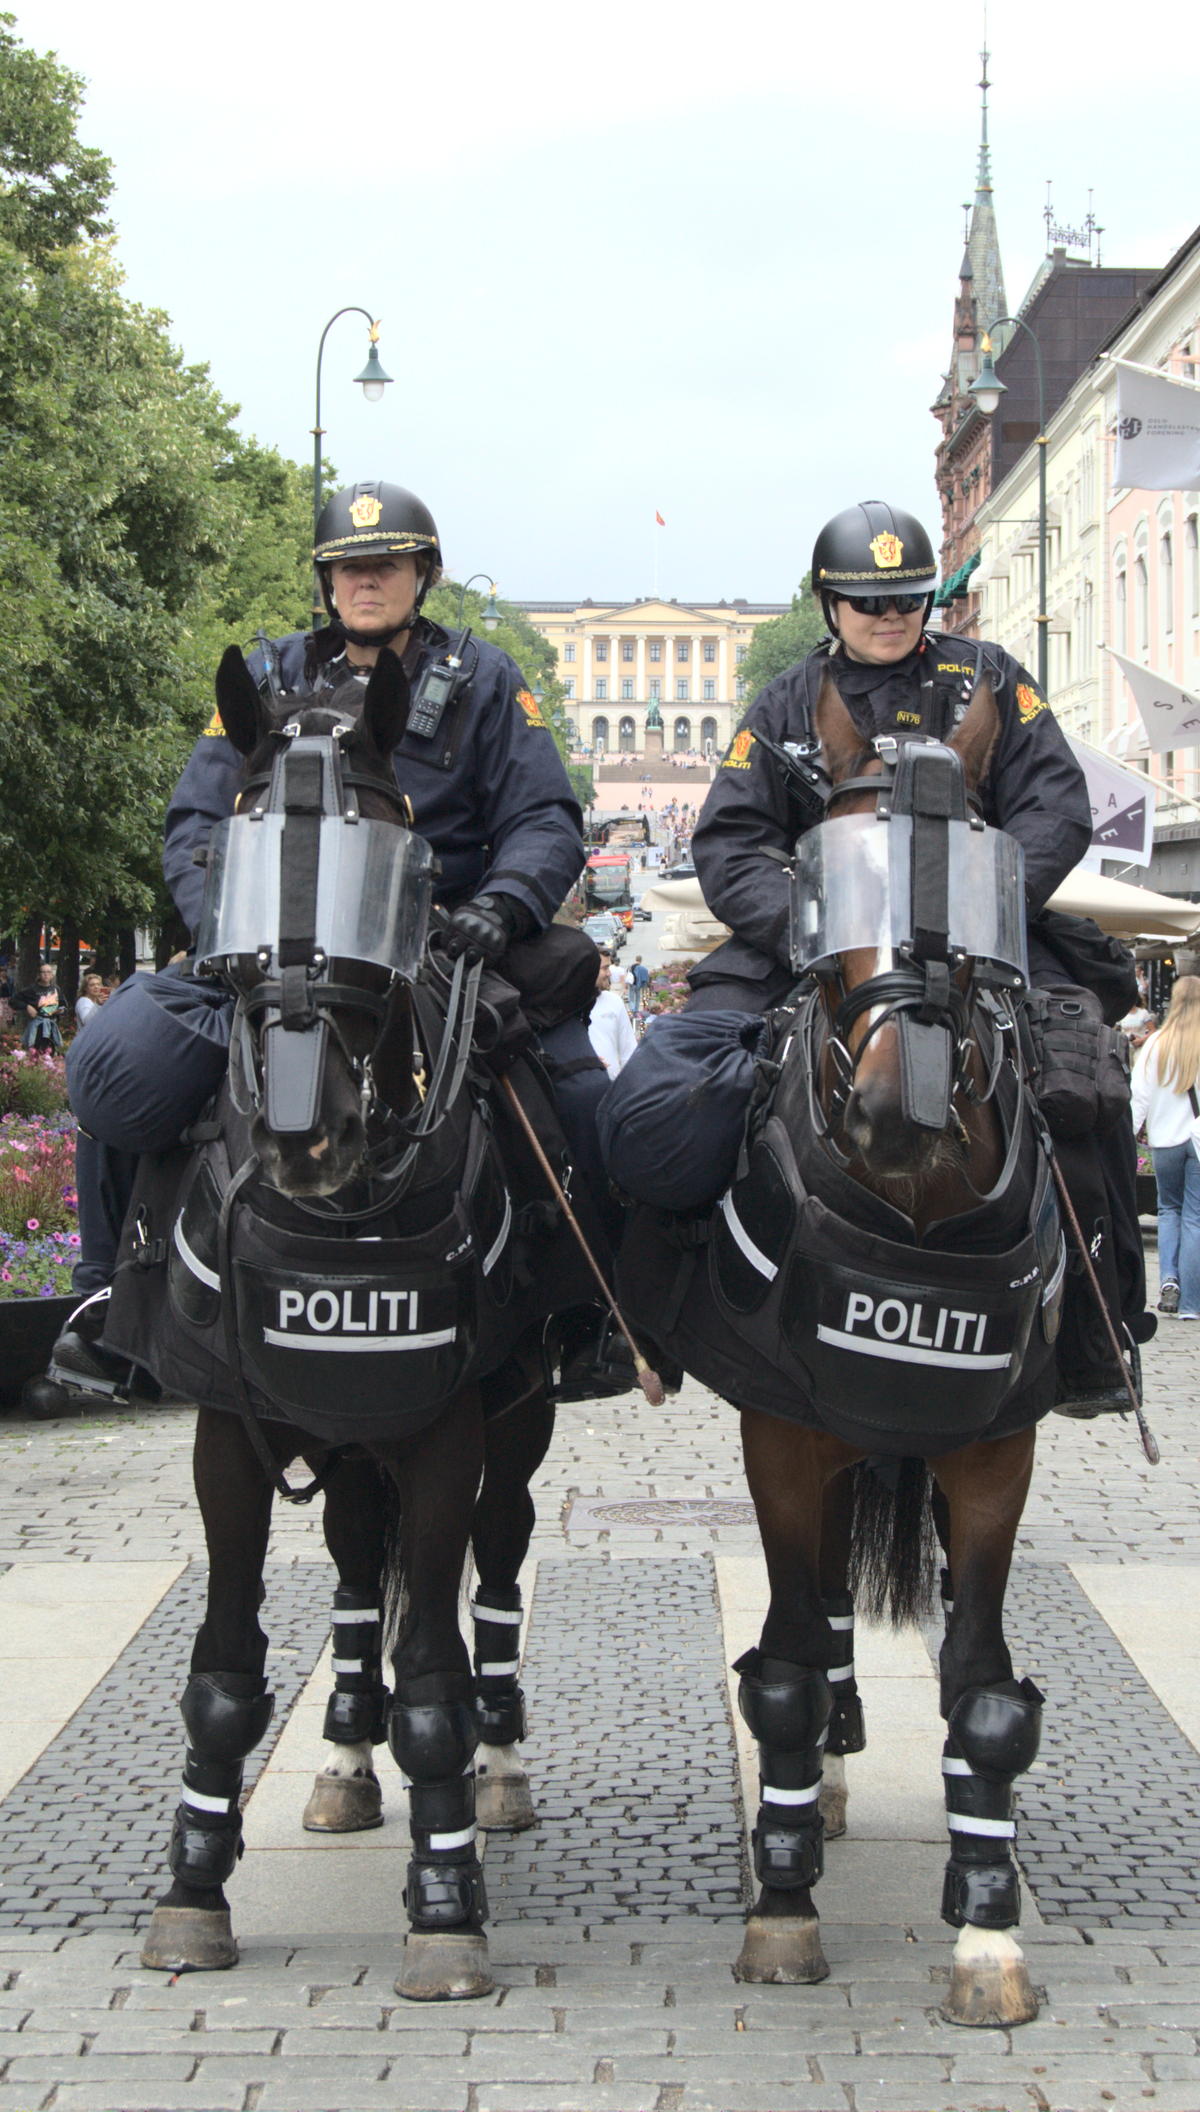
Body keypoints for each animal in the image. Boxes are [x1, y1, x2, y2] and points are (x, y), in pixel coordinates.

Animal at [110, 646, 600, 1993]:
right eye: (238, 844)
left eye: (401, 856)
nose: (303, 1129)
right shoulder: (227, 1440)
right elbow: (224, 1674)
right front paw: (193, 1884)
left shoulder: (441, 1432)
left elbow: (433, 1670)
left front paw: (444, 1903)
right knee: (346, 1564)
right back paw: (339, 1752)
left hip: (515, 1422)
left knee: (496, 1565)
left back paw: (494, 1765)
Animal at [616, 675, 1060, 2027]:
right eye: (824, 876)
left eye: (974, 871)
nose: (893, 1108)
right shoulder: (783, 1437)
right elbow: (785, 1669)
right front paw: (784, 1899)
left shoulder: (994, 1454)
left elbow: (982, 1685)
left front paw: (986, 1928)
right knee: (812, 1623)